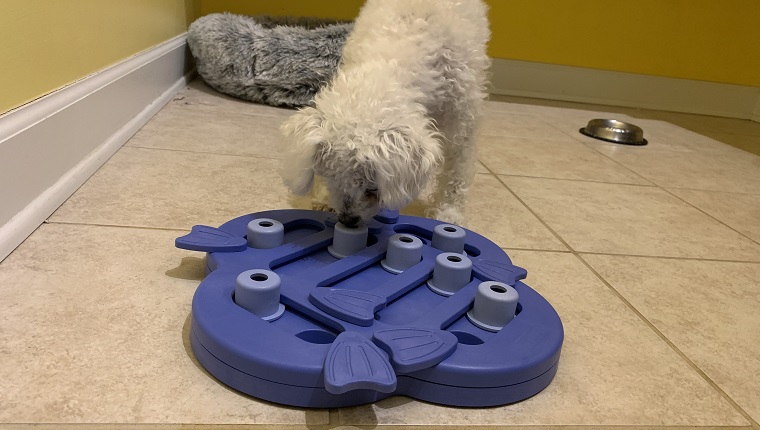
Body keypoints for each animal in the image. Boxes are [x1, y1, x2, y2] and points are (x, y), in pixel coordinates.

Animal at [282, 0, 490, 228]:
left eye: (373, 189)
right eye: (330, 177)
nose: (347, 220)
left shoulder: (461, 119)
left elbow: (456, 170)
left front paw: (448, 214)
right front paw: (324, 198)